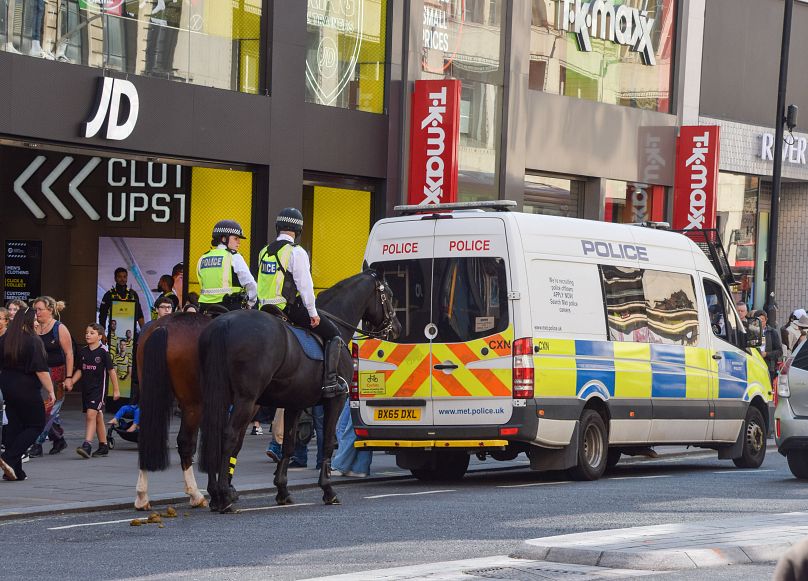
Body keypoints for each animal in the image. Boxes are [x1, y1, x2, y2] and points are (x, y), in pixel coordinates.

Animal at [199, 270, 400, 510]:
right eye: (389, 295)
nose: (397, 328)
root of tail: (224, 323)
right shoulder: (336, 400)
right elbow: (327, 443)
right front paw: (328, 490)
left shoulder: (294, 403)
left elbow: (289, 445)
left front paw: (282, 490)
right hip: (246, 400)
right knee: (229, 435)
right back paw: (224, 496)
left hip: (219, 394)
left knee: (213, 434)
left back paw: (215, 494)